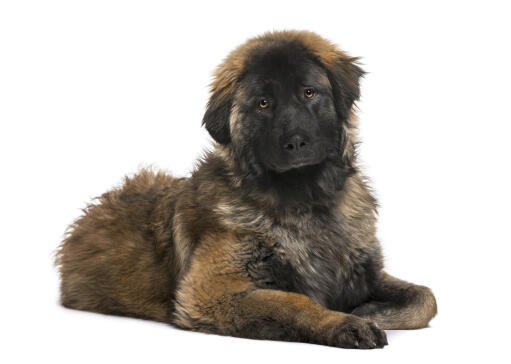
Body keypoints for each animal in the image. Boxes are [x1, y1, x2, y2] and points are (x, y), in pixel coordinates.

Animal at [57, 31, 440, 350]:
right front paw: (345, 322)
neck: (305, 202)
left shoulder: (365, 270)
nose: (296, 142)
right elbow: (294, 301)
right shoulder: (210, 290)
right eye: (263, 103)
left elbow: (426, 297)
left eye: (309, 92)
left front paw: (370, 310)